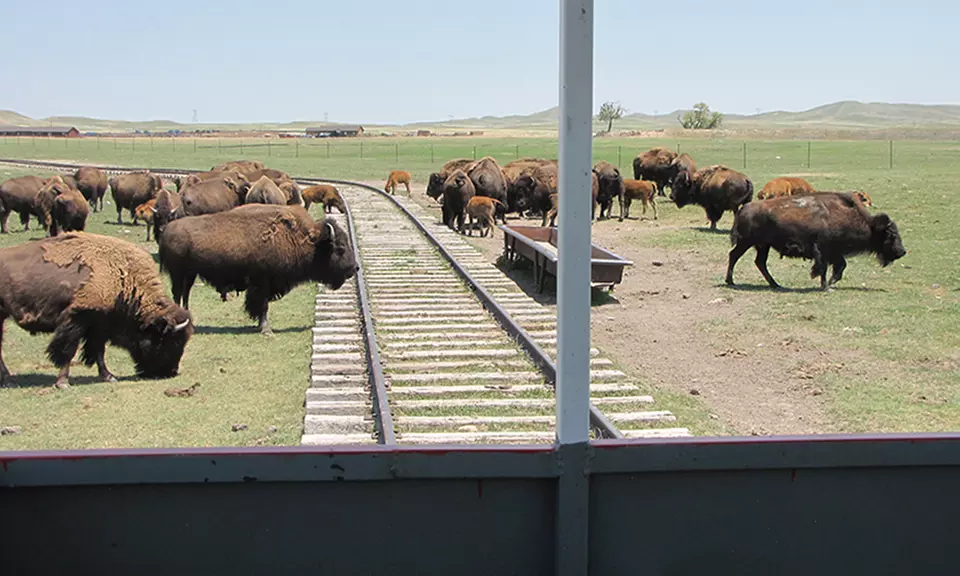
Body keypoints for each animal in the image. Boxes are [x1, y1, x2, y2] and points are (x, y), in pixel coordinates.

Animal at [0, 233, 193, 388]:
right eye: (173, 341)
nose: (170, 372)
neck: (123, 277)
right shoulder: (77, 320)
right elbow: (68, 351)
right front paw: (63, 382)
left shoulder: (100, 326)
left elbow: (98, 351)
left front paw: (109, 376)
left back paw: (7, 378)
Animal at [158, 204, 358, 335]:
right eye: (340, 248)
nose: (354, 268)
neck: (301, 239)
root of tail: (168, 228)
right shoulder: (262, 282)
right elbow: (262, 305)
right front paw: (265, 329)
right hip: (178, 273)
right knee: (178, 293)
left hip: (190, 274)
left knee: (185, 293)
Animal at [726, 192, 906, 290]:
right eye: (891, 234)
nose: (902, 251)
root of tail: (744, 208)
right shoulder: (823, 251)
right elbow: (824, 268)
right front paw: (825, 285)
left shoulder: (833, 253)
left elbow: (839, 267)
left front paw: (828, 284)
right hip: (746, 243)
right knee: (734, 256)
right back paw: (731, 281)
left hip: (763, 246)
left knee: (759, 262)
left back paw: (776, 285)